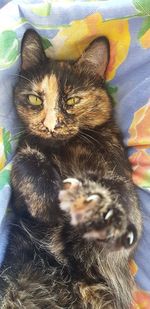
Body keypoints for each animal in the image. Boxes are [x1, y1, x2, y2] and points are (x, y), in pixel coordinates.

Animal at [0, 28, 142, 308]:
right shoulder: (21, 182)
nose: (50, 125)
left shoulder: (125, 191)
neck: (63, 150)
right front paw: (47, 205)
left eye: (73, 100)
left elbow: (114, 193)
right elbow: (25, 159)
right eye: (34, 99)